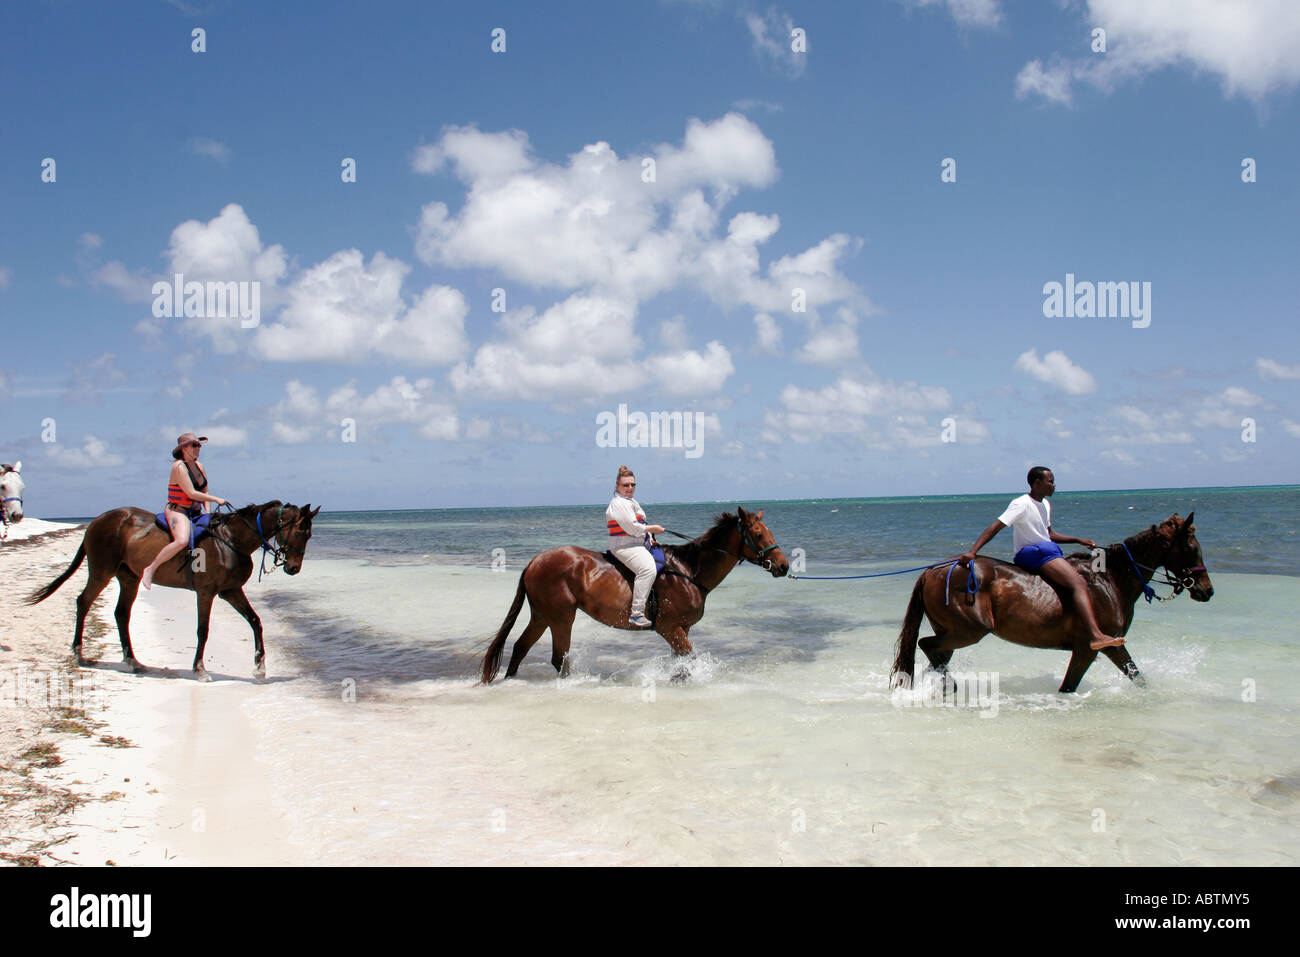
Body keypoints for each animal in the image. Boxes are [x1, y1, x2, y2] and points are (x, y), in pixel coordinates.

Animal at [26, 501, 319, 681]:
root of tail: (97, 521)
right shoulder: (206, 592)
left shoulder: (231, 591)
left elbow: (256, 622)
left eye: (309, 535)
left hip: (129, 578)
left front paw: (259, 667)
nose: (293, 568)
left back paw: (133, 661)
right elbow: (203, 630)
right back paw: (78, 652)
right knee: (83, 602)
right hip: (101, 572)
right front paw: (199, 669)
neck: (231, 539)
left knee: (121, 614)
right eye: (300, 531)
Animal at [480, 509, 790, 681]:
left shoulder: (683, 628)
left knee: (520, 647)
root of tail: (535, 561)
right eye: (758, 534)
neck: (688, 571)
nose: (784, 566)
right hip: (561, 617)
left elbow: (682, 660)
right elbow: (689, 657)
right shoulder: (668, 627)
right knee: (558, 658)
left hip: (543, 615)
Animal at [894, 514, 1206, 696]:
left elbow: (1137, 677)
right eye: (1191, 547)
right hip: (968, 631)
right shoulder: (1092, 648)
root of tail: (934, 570)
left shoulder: (1113, 646)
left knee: (936, 656)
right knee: (927, 646)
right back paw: (949, 686)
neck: (1110, 579)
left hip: (952, 632)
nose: (1207, 590)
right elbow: (1069, 686)